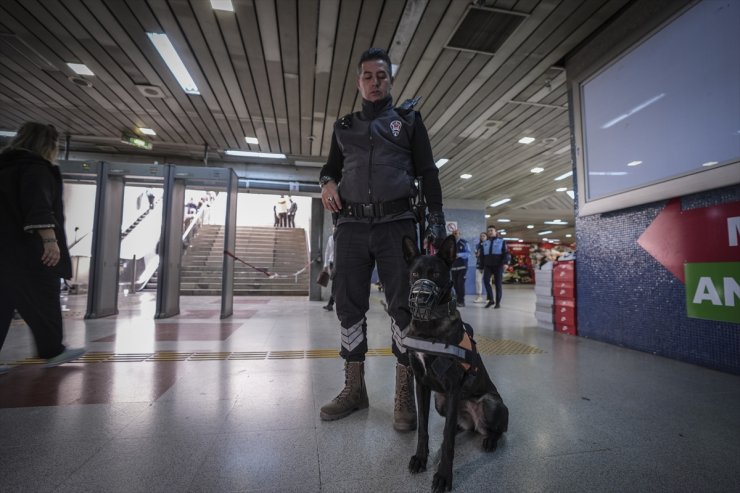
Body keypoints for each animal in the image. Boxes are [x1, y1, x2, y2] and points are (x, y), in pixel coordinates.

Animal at [398, 235, 508, 492]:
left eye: (436, 274)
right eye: (415, 273)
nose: (419, 297)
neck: (428, 325)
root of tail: (476, 424)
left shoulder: (453, 387)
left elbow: (448, 439)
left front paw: (443, 475)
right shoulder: (422, 384)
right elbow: (423, 429)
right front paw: (421, 458)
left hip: (491, 403)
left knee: (497, 430)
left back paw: (490, 440)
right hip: (442, 402)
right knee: (457, 423)